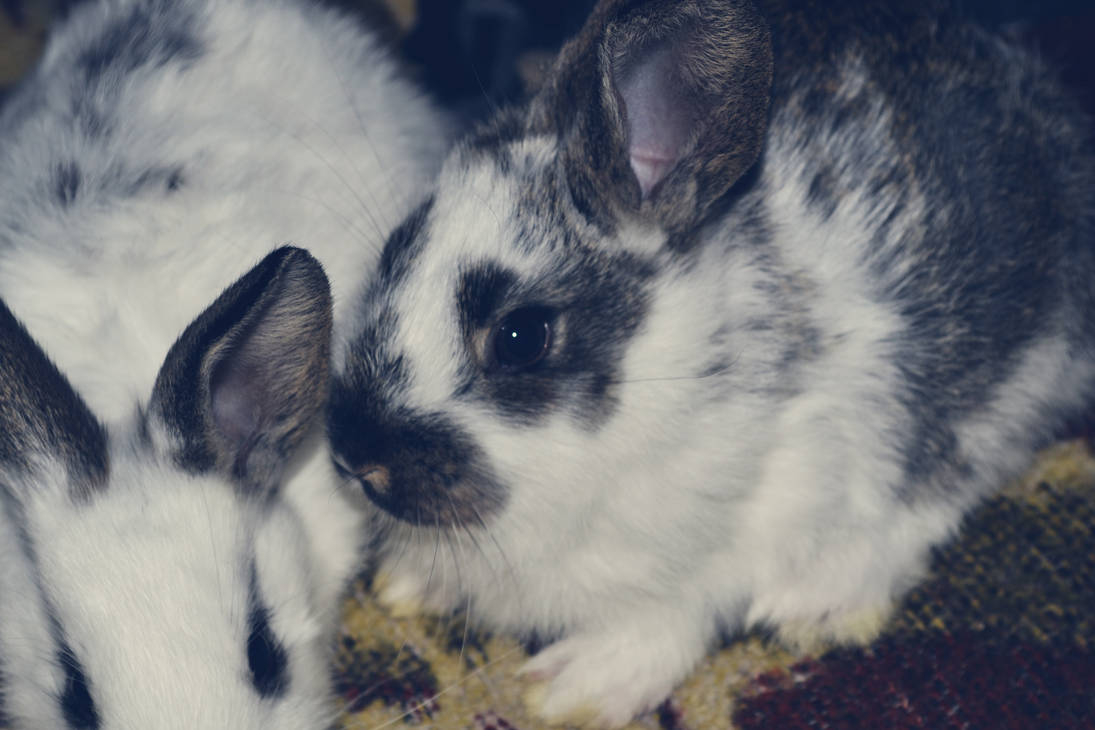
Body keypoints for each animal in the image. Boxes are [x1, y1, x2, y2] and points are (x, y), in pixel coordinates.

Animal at [326, 0, 1095, 726]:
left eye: (521, 336)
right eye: (394, 250)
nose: (356, 457)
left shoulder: (763, 514)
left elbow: (677, 616)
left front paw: (577, 688)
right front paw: (411, 583)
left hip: (1002, 386)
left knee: (940, 493)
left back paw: (820, 601)